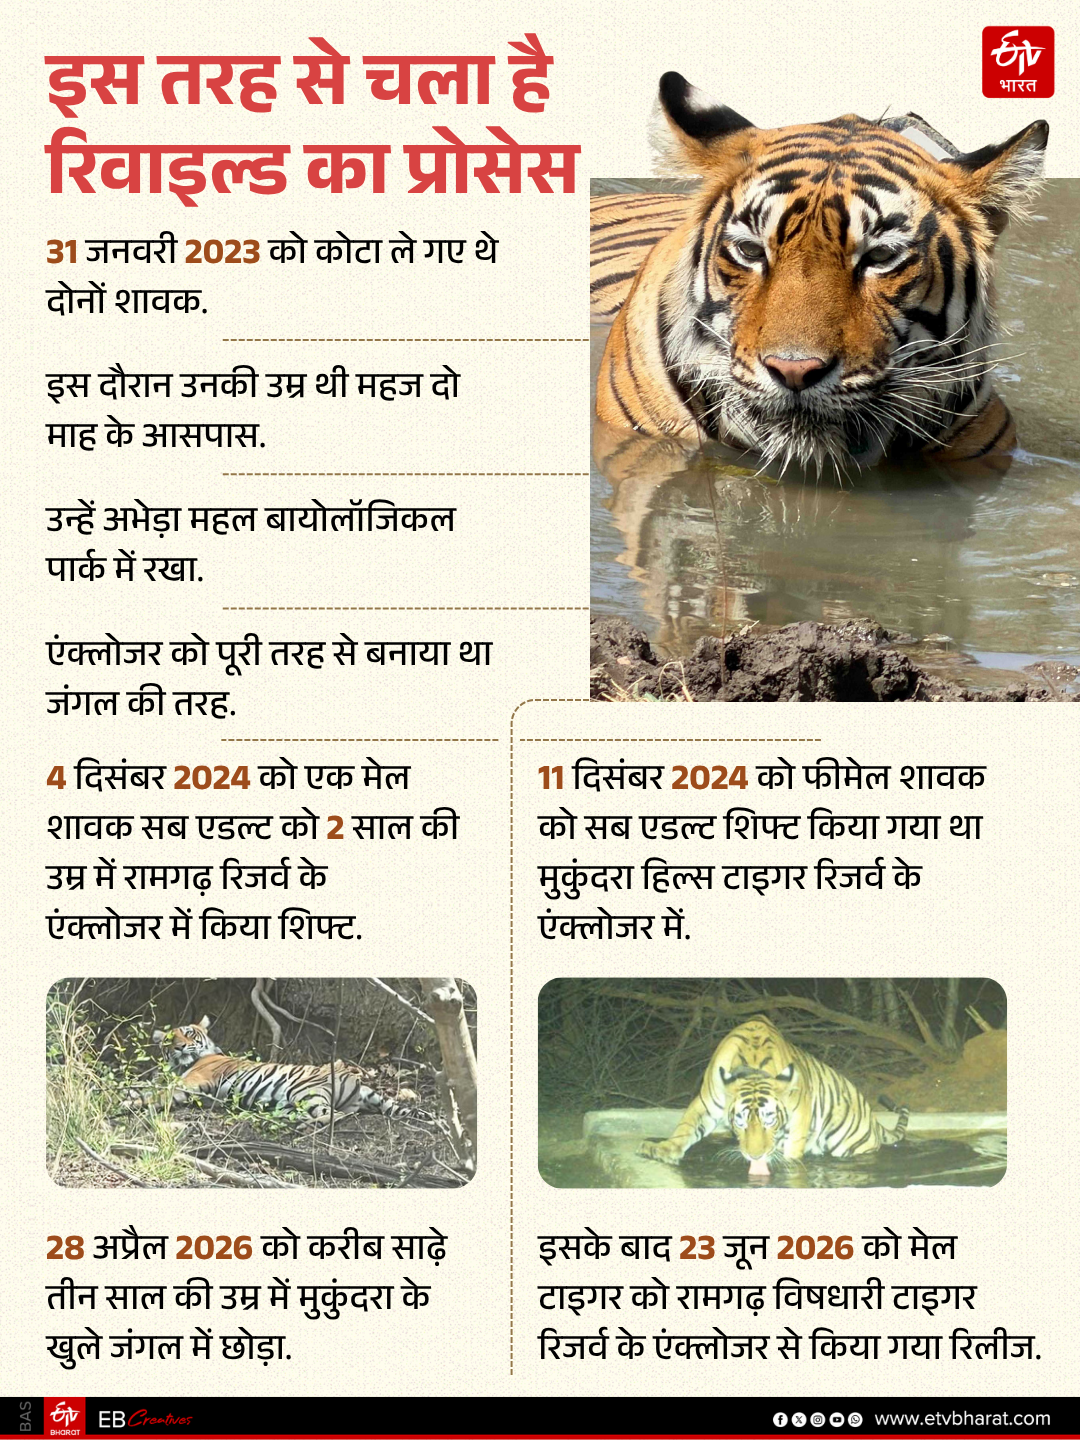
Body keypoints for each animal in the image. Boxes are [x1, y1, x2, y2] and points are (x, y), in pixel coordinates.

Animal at [148, 1017, 402, 1123]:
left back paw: (307, 1126)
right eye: (170, 1039)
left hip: (304, 1091)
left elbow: (158, 1094)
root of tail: (356, 1081)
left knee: (335, 1115)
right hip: (293, 1103)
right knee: (343, 1113)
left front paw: (139, 1101)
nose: (180, 1047)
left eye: (189, 1034)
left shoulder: (191, 1080)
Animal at [639, 1015, 908, 1174]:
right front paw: (662, 1149)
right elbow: (685, 1127)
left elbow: (792, 1150)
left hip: (853, 1145)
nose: (755, 1155)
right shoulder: (705, 1101)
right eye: (740, 1122)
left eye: (770, 1119)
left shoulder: (799, 1115)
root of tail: (873, 1116)